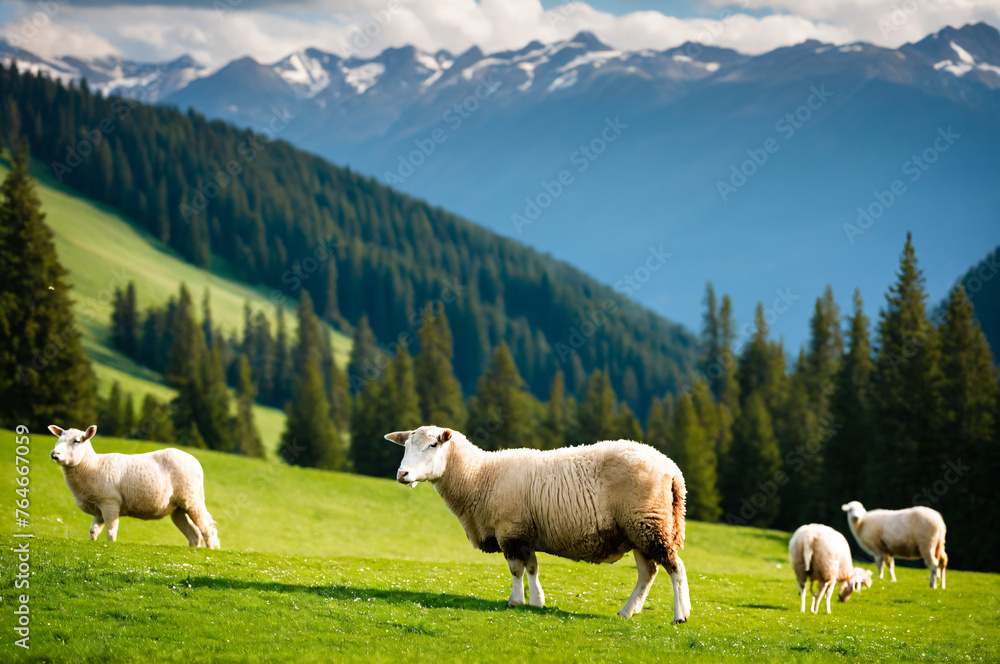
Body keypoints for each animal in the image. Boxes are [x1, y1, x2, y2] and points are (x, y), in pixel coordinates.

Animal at [48, 425, 220, 549]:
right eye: (59, 439)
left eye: (76, 441)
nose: (54, 454)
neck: (91, 465)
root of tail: (194, 460)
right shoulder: (99, 508)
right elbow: (93, 531)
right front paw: (92, 543)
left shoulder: (110, 503)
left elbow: (111, 531)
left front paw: (111, 545)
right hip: (178, 508)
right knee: (194, 534)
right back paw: (192, 550)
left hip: (192, 500)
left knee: (207, 527)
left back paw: (210, 550)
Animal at [384, 425, 691, 623]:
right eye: (406, 446)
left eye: (433, 445)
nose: (402, 474)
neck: (478, 475)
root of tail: (672, 470)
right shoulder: (524, 533)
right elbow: (532, 567)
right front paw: (537, 602)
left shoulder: (511, 530)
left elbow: (516, 569)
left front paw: (516, 601)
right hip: (639, 530)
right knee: (648, 573)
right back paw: (628, 611)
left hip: (649, 523)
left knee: (675, 568)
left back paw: (680, 615)